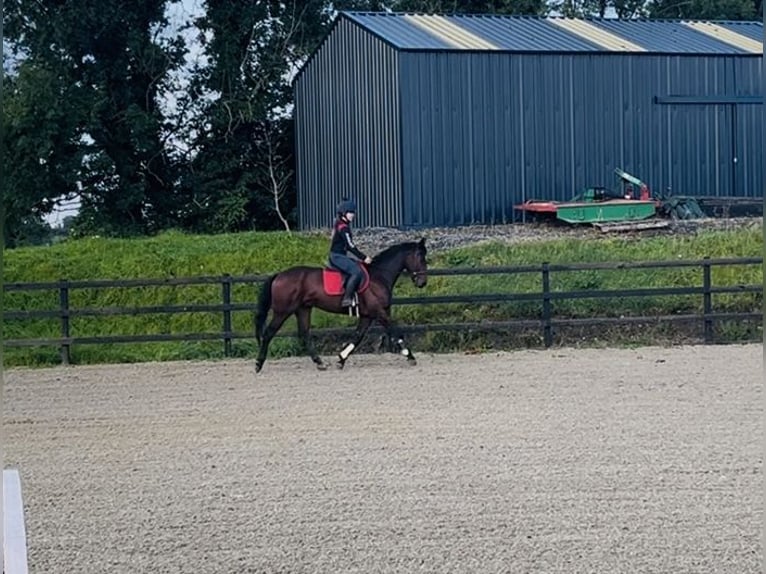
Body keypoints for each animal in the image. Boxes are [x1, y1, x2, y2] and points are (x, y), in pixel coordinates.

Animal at [254, 238, 428, 372]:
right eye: (421, 257)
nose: (422, 282)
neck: (378, 276)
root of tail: (279, 275)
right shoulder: (378, 311)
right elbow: (396, 330)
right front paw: (409, 356)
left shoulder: (368, 315)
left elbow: (358, 336)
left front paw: (341, 359)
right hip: (282, 311)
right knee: (269, 333)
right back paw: (258, 364)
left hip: (303, 309)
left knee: (304, 334)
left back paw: (320, 363)